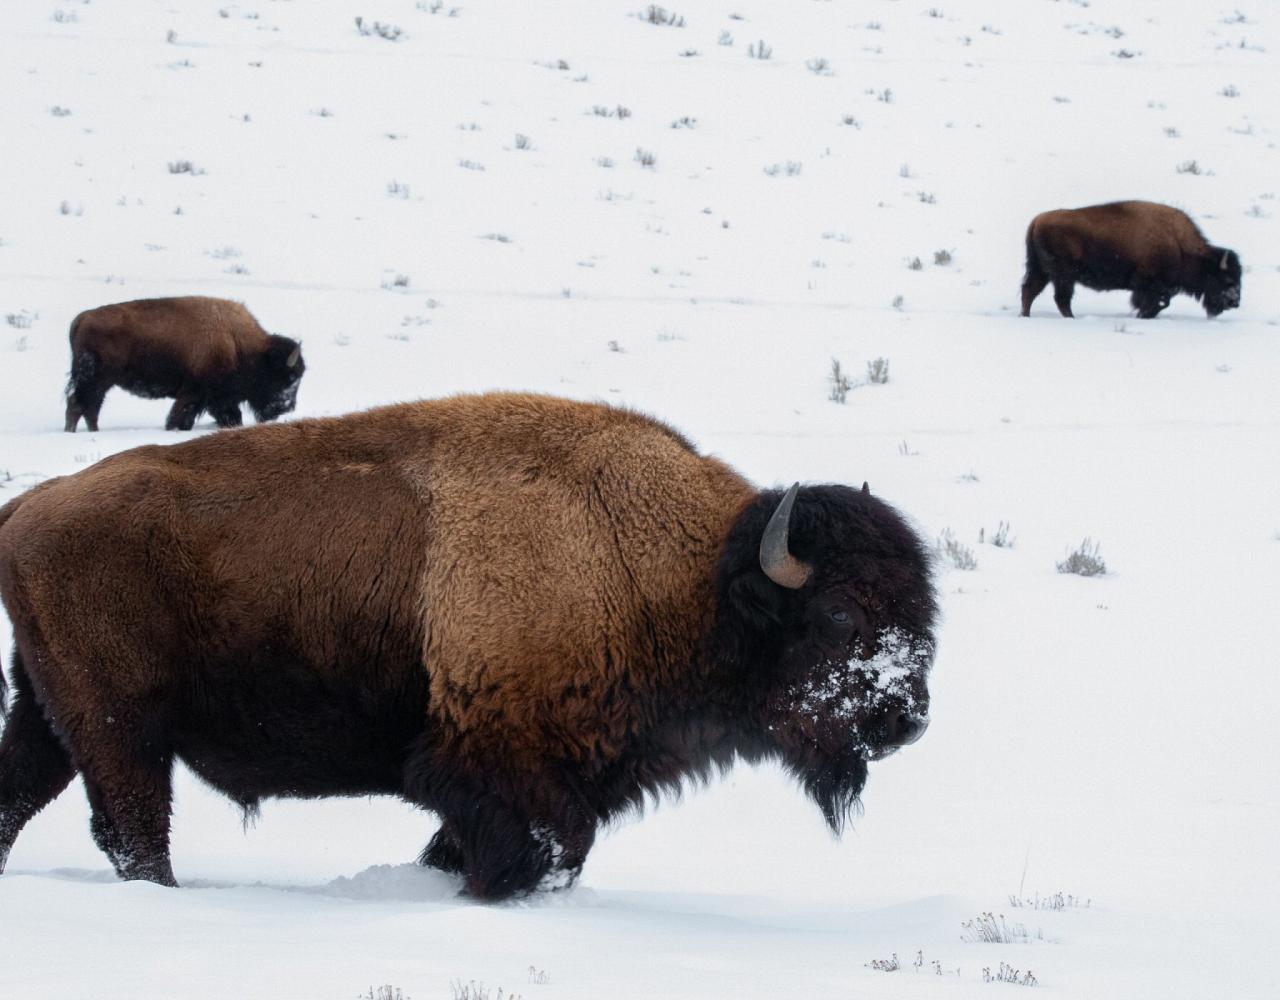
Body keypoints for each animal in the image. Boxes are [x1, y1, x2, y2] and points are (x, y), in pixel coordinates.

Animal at [0, 389, 942, 896]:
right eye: (841, 617)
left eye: (921, 613)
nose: (906, 720)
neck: (686, 573)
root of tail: (29, 505)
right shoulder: (499, 760)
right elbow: (548, 847)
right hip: (120, 725)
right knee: (133, 829)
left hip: (49, 716)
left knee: (27, 798)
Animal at [64, 290, 304, 427]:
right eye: (289, 377)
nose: (287, 407)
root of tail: (81, 319)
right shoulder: (194, 392)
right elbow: (181, 416)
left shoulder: (220, 398)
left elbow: (231, 416)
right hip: (96, 379)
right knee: (79, 405)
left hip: (101, 383)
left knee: (90, 408)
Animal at [1018, 198, 1239, 316]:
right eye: (1228, 279)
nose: (1235, 303)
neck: (1178, 243)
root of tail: (1037, 221)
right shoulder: (1149, 284)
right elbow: (1158, 302)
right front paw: (1144, 315)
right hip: (1063, 275)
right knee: (1060, 298)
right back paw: (1071, 318)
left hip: (1041, 271)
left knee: (1030, 291)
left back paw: (1026, 316)